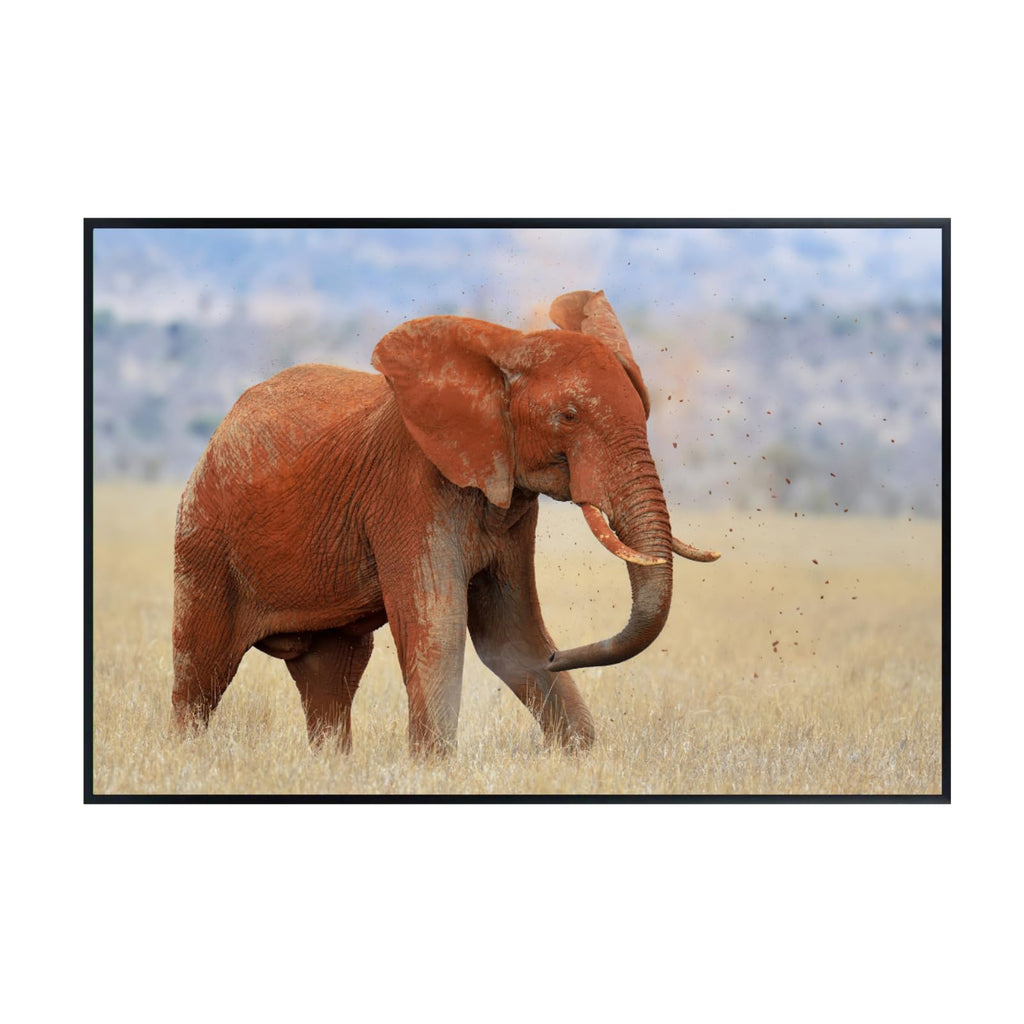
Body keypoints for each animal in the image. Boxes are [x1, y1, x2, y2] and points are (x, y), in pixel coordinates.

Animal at [171, 289, 719, 756]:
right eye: (568, 416)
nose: (560, 655)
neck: (505, 349)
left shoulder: (509, 499)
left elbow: (511, 638)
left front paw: (579, 758)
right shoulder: (410, 491)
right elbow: (438, 627)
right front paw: (431, 767)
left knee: (332, 674)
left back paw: (331, 764)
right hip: (204, 537)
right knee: (202, 668)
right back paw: (185, 756)